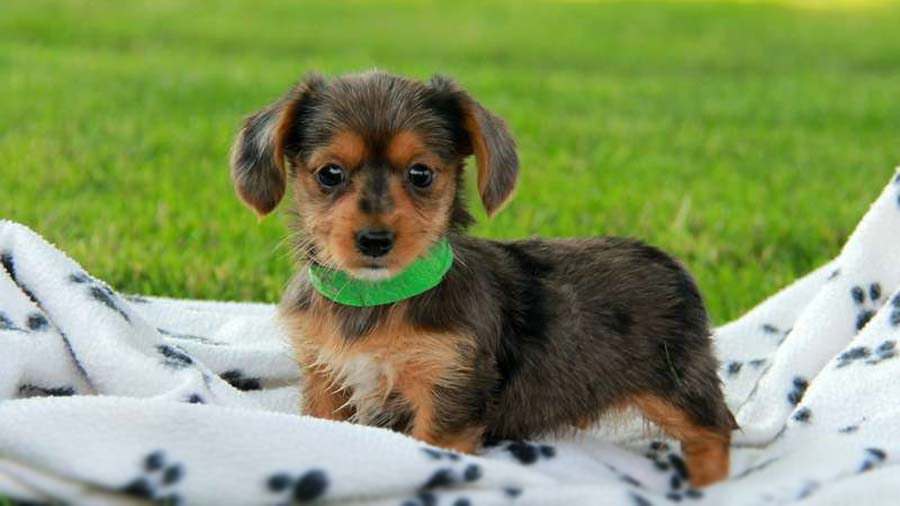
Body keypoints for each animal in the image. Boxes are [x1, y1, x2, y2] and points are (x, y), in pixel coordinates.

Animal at [229, 70, 736, 486]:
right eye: (330, 174)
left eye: (421, 173)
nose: (374, 240)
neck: (378, 298)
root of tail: (673, 264)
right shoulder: (326, 382)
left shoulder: (448, 396)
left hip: (676, 385)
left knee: (715, 431)